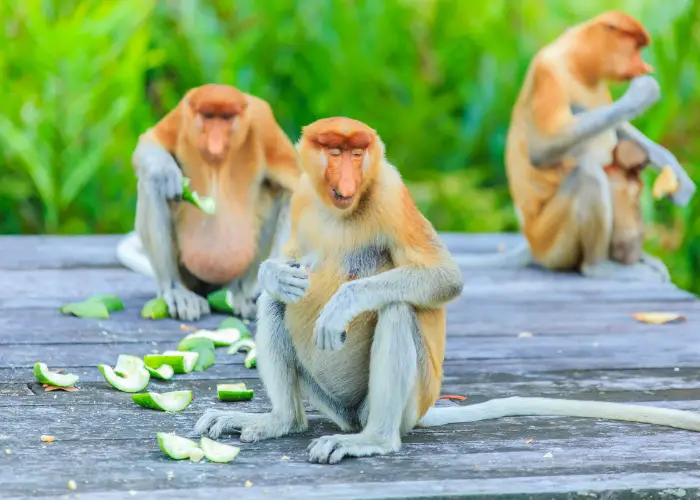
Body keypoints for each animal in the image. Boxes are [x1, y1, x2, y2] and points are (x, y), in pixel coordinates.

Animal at [115, 83, 300, 320]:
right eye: (209, 116)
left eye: (226, 118)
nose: (215, 142)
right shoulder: (181, 116)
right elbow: (149, 143)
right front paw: (167, 173)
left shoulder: (263, 123)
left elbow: (295, 188)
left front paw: (278, 279)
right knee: (151, 182)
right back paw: (176, 291)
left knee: (277, 192)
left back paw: (241, 294)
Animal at [194, 115, 700, 462]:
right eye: (333, 151)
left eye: (358, 153)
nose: (347, 179)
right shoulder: (303, 194)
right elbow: (287, 271)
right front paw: (275, 273)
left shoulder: (390, 192)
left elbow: (443, 276)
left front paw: (341, 305)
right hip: (330, 399)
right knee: (278, 305)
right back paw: (281, 420)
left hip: (403, 400)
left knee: (396, 307)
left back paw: (373, 440)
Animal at [454, 10, 696, 282]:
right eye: (635, 47)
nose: (644, 66)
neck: (578, 63)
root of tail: (532, 243)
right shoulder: (549, 72)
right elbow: (542, 149)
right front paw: (643, 93)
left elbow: (619, 128)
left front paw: (679, 178)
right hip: (550, 242)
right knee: (588, 174)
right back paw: (599, 267)